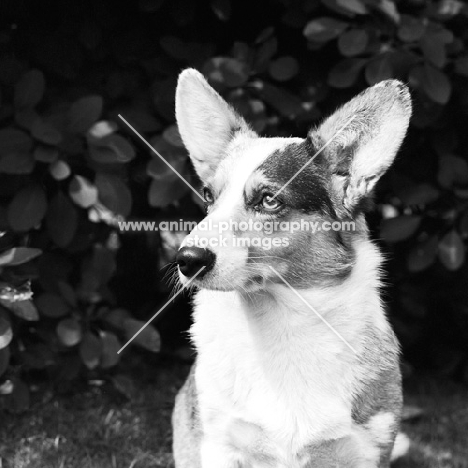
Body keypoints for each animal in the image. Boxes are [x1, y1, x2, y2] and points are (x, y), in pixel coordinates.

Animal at [171, 67, 410, 466]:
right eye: (208, 196)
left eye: (269, 200)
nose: (187, 260)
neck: (281, 319)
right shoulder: (220, 443)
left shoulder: (366, 448)